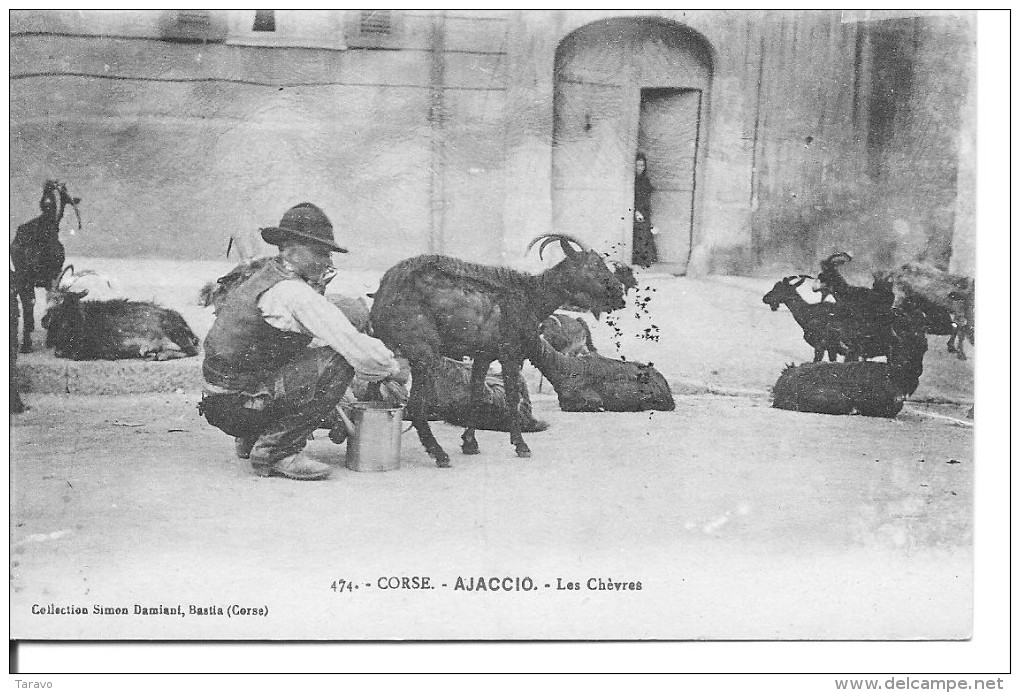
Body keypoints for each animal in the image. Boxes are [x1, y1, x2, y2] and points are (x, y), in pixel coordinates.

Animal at [10, 178, 80, 353]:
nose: (48, 204)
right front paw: (29, 343)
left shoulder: (51, 276)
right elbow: (32, 303)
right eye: (45, 191)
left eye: (63, 196)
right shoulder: (28, 277)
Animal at [371, 232, 624, 465]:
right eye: (593, 266)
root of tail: (382, 297)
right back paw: (439, 454)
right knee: (415, 405)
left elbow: (476, 395)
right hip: (423, 353)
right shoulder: (511, 354)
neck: (530, 296)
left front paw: (470, 443)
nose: (619, 295)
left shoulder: (483, 355)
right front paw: (521, 446)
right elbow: (513, 398)